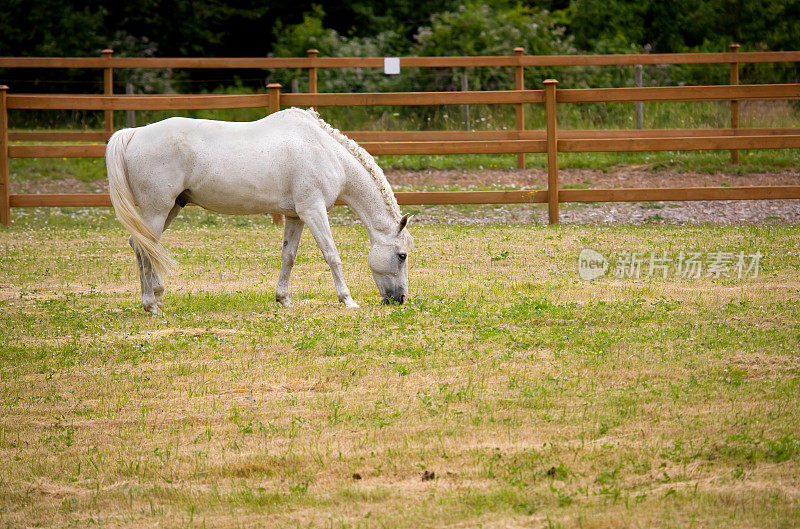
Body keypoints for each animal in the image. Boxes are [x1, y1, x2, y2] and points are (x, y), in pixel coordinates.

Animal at [104, 108, 412, 314]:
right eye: (402, 255)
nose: (398, 299)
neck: (324, 151)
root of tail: (134, 134)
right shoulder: (313, 211)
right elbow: (331, 255)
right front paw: (347, 300)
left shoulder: (295, 216)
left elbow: (288, 257)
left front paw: (283, 299)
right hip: (157, 210)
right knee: (145, 248)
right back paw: (151, 304)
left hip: (170, 209)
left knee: (140, 244)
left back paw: (155, 297)